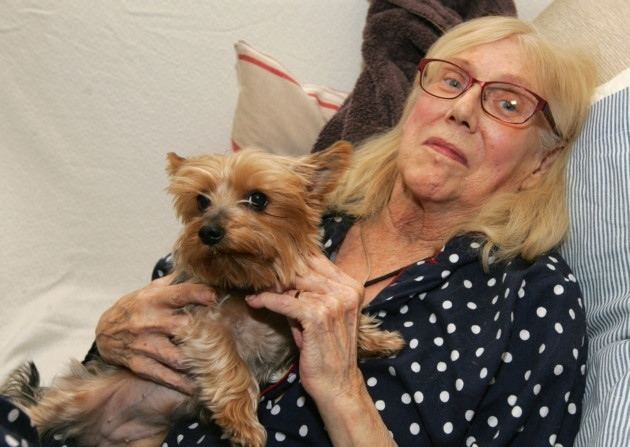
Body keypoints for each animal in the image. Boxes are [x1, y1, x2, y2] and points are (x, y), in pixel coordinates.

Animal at [3, 141, 404, 447]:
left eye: (258, 199)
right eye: (201, 201)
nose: (208, 231)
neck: (246, 283)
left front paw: (377, 339)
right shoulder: (200, 322)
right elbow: (230, 364)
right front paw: (243, 424)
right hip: (73, 398)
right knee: (34, 411)